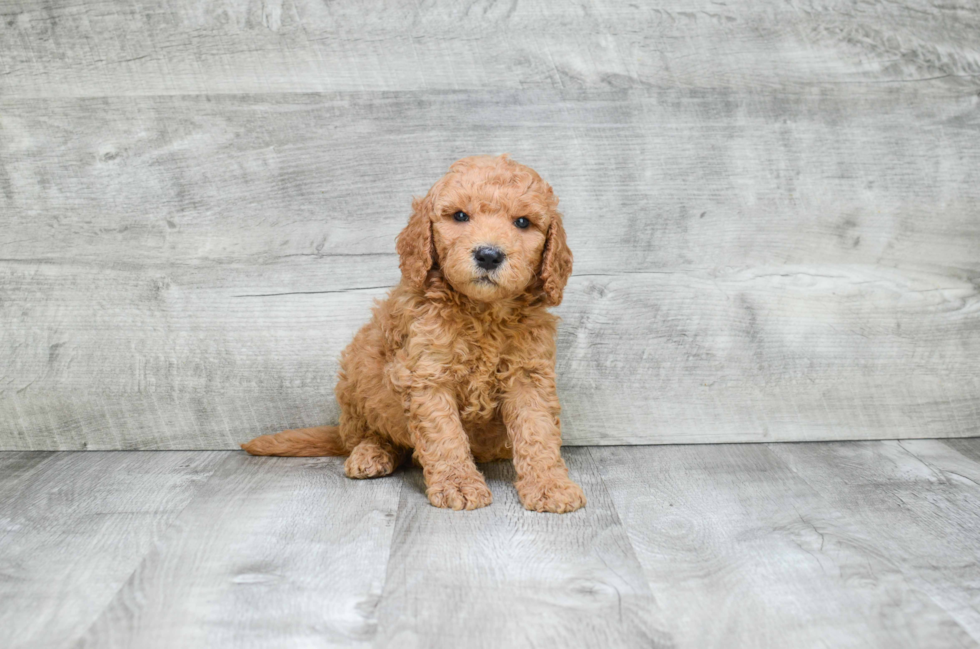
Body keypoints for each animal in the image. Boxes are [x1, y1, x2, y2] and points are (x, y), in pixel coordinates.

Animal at [242, 153, 584, 512]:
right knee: (370, 434)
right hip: (357, 377)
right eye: (460, 216)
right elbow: (445, 435)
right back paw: (371, 453)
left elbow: (538, 432)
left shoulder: (528, 375)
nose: (489, 255)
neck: (481, 311)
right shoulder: (427, 375)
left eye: (522, 222)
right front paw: (459, 484)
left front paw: (550, 485)